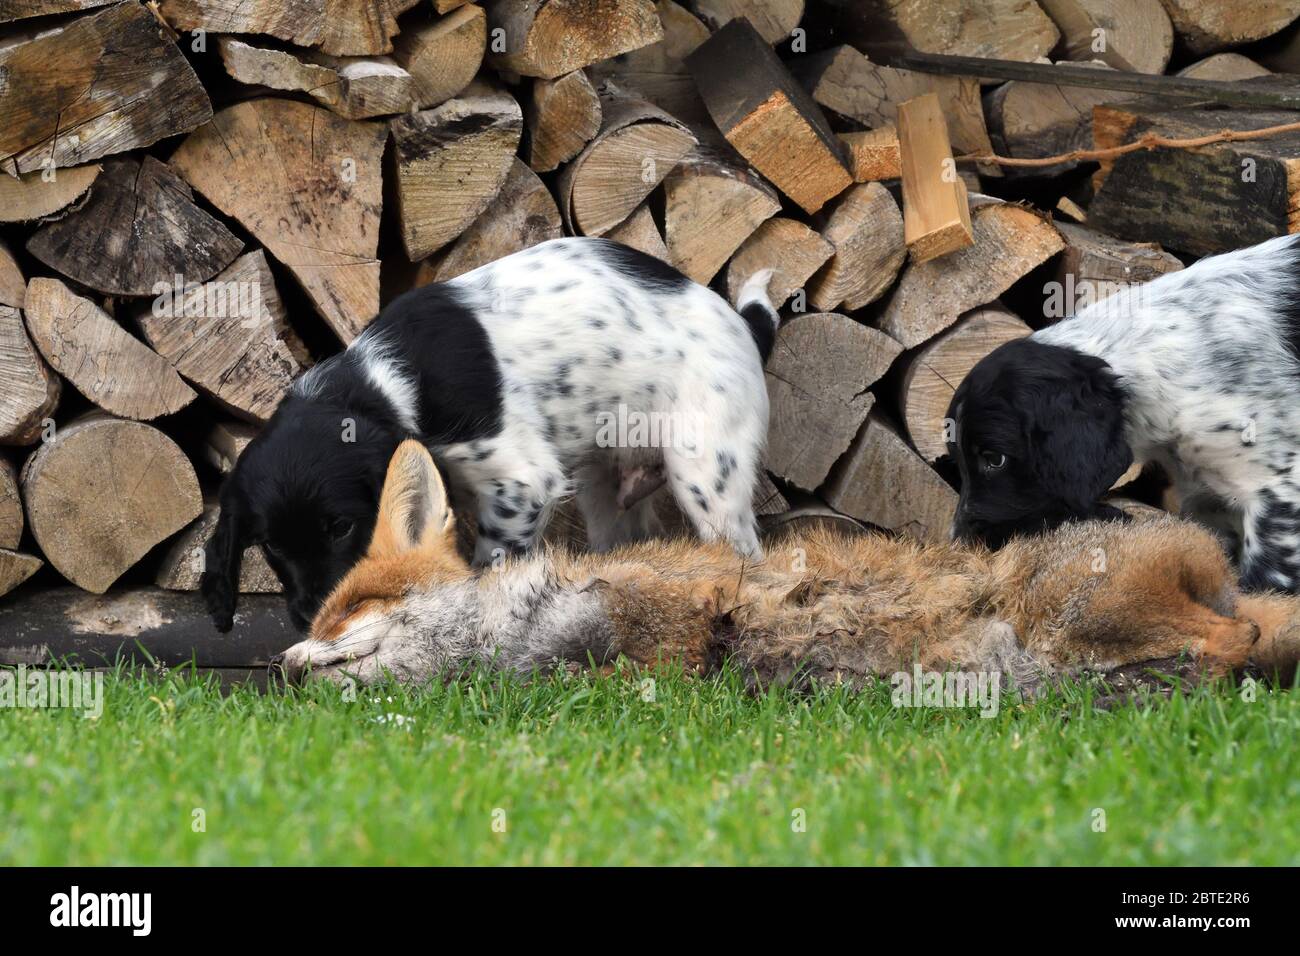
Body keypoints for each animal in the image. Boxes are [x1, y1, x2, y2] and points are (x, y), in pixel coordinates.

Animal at [197, 238, 774, 634]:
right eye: (270, 545)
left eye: (341, 527)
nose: (311, 616)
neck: (379, 385)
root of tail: (742, 324)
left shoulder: (522, 482)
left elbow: (491, 566)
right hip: (607, 494)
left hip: (705, 472)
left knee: (745, 555)